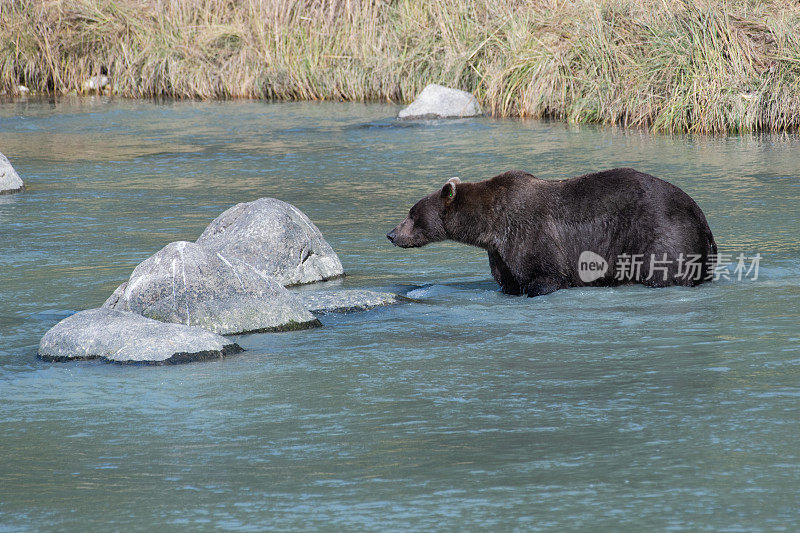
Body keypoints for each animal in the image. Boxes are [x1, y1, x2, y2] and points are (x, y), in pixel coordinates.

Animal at [388, 167, 720, 296]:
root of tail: (700, 215)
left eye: (412, 214)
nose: (391, 234)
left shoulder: (528, 233)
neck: (490, 225)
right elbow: (508, 280)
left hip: (662, 234)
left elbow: (545, 274)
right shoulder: (499, 250)